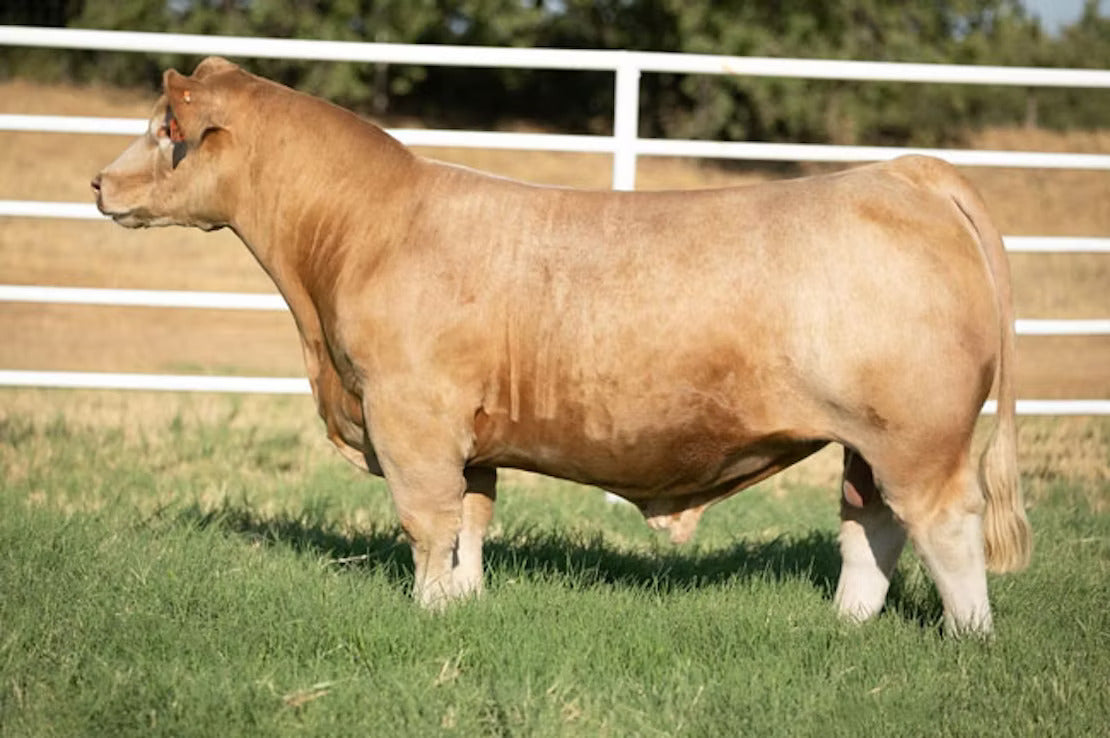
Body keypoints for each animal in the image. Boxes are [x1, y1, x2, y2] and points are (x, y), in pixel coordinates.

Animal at [92, 57, 1031, 634]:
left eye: (164, 129)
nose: (98, 182)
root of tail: (905, 171)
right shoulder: (468, 438)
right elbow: (472, 520)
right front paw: (465, 603)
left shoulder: (409, 417)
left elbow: (426, 522)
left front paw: (428, 610)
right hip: (867, 442)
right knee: (871, 527)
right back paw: (846, 626)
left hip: (918, 436)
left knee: (945, 525)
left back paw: (968, 637)